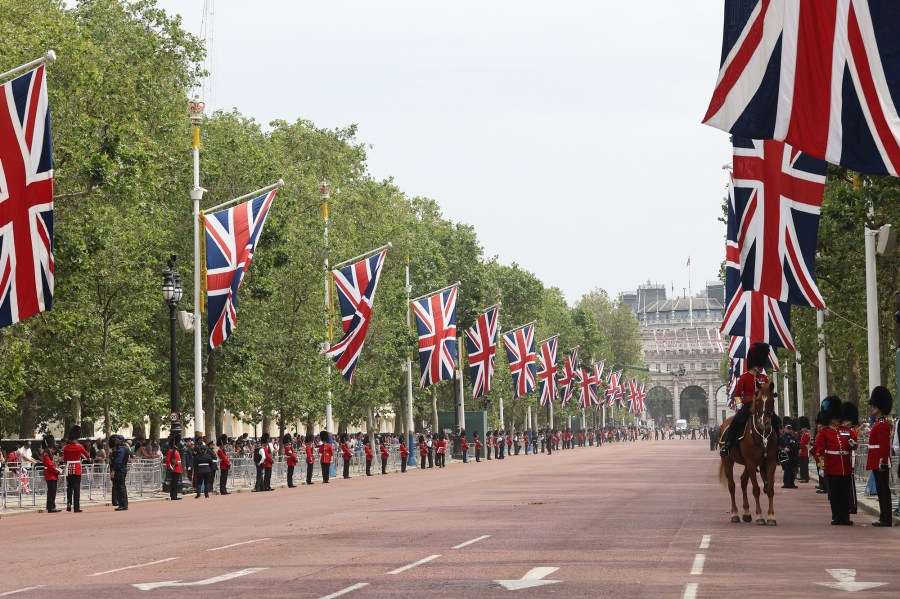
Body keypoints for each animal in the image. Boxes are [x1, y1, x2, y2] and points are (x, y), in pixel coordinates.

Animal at [720, 384, 776, 524]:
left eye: (772, 401)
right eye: (758, 401)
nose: (764, 423)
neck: (761, 435)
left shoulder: (770, 462)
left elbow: (770, 489)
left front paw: (771, 516)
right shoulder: (751, 462)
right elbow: (756, 489)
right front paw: (760, 516)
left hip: (747, 464)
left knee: (743, 481)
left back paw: (746, 512)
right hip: (728, 461)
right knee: (732, 485)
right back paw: (734, 514)